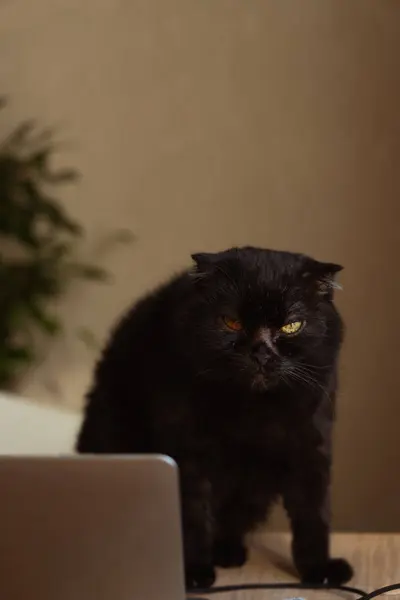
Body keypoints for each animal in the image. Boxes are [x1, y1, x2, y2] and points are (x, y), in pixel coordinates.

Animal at [76, 246, 352, 588]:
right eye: (231, 322)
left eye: (291, 326)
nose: (261, 352)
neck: (252, 412)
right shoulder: (189, 452)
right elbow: (193, 515)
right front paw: (194, 571)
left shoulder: (309, 446)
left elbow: (314, 514)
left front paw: (319, 570)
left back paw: (228, 553)